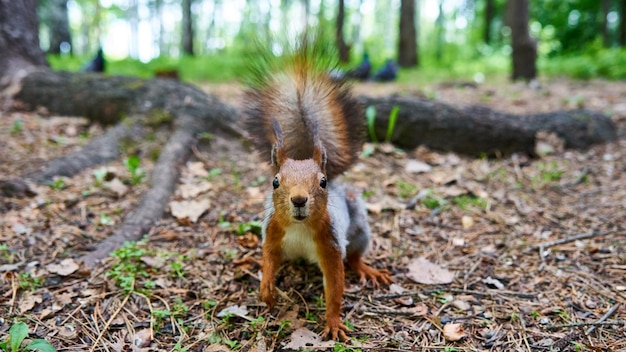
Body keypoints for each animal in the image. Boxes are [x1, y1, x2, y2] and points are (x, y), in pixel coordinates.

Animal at [243, 42, 390, 340]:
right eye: (275, 181)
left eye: (322, 182)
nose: (299, 199)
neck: (299, 228)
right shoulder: (272, 234)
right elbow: (268, 259)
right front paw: (266, 290)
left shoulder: (331, 246)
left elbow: (335, 286)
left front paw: (332, 322)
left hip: (359, 228)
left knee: (354, 257)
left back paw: (367, 268)